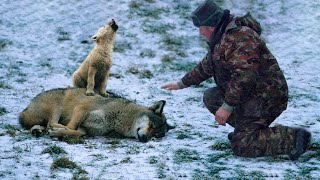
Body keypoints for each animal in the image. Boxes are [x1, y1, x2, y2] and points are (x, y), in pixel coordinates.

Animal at [18, 88, 174, 143]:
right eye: (151, 125)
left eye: (156, 135)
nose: (145, 139)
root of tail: (26, 108)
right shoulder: (82, 109)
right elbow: (72, 127)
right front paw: (59, 131)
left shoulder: (87, 129)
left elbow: (78, 132)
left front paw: (60, 133)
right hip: (56, 109)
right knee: (50, 122)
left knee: (41, 125)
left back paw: (38, 131)